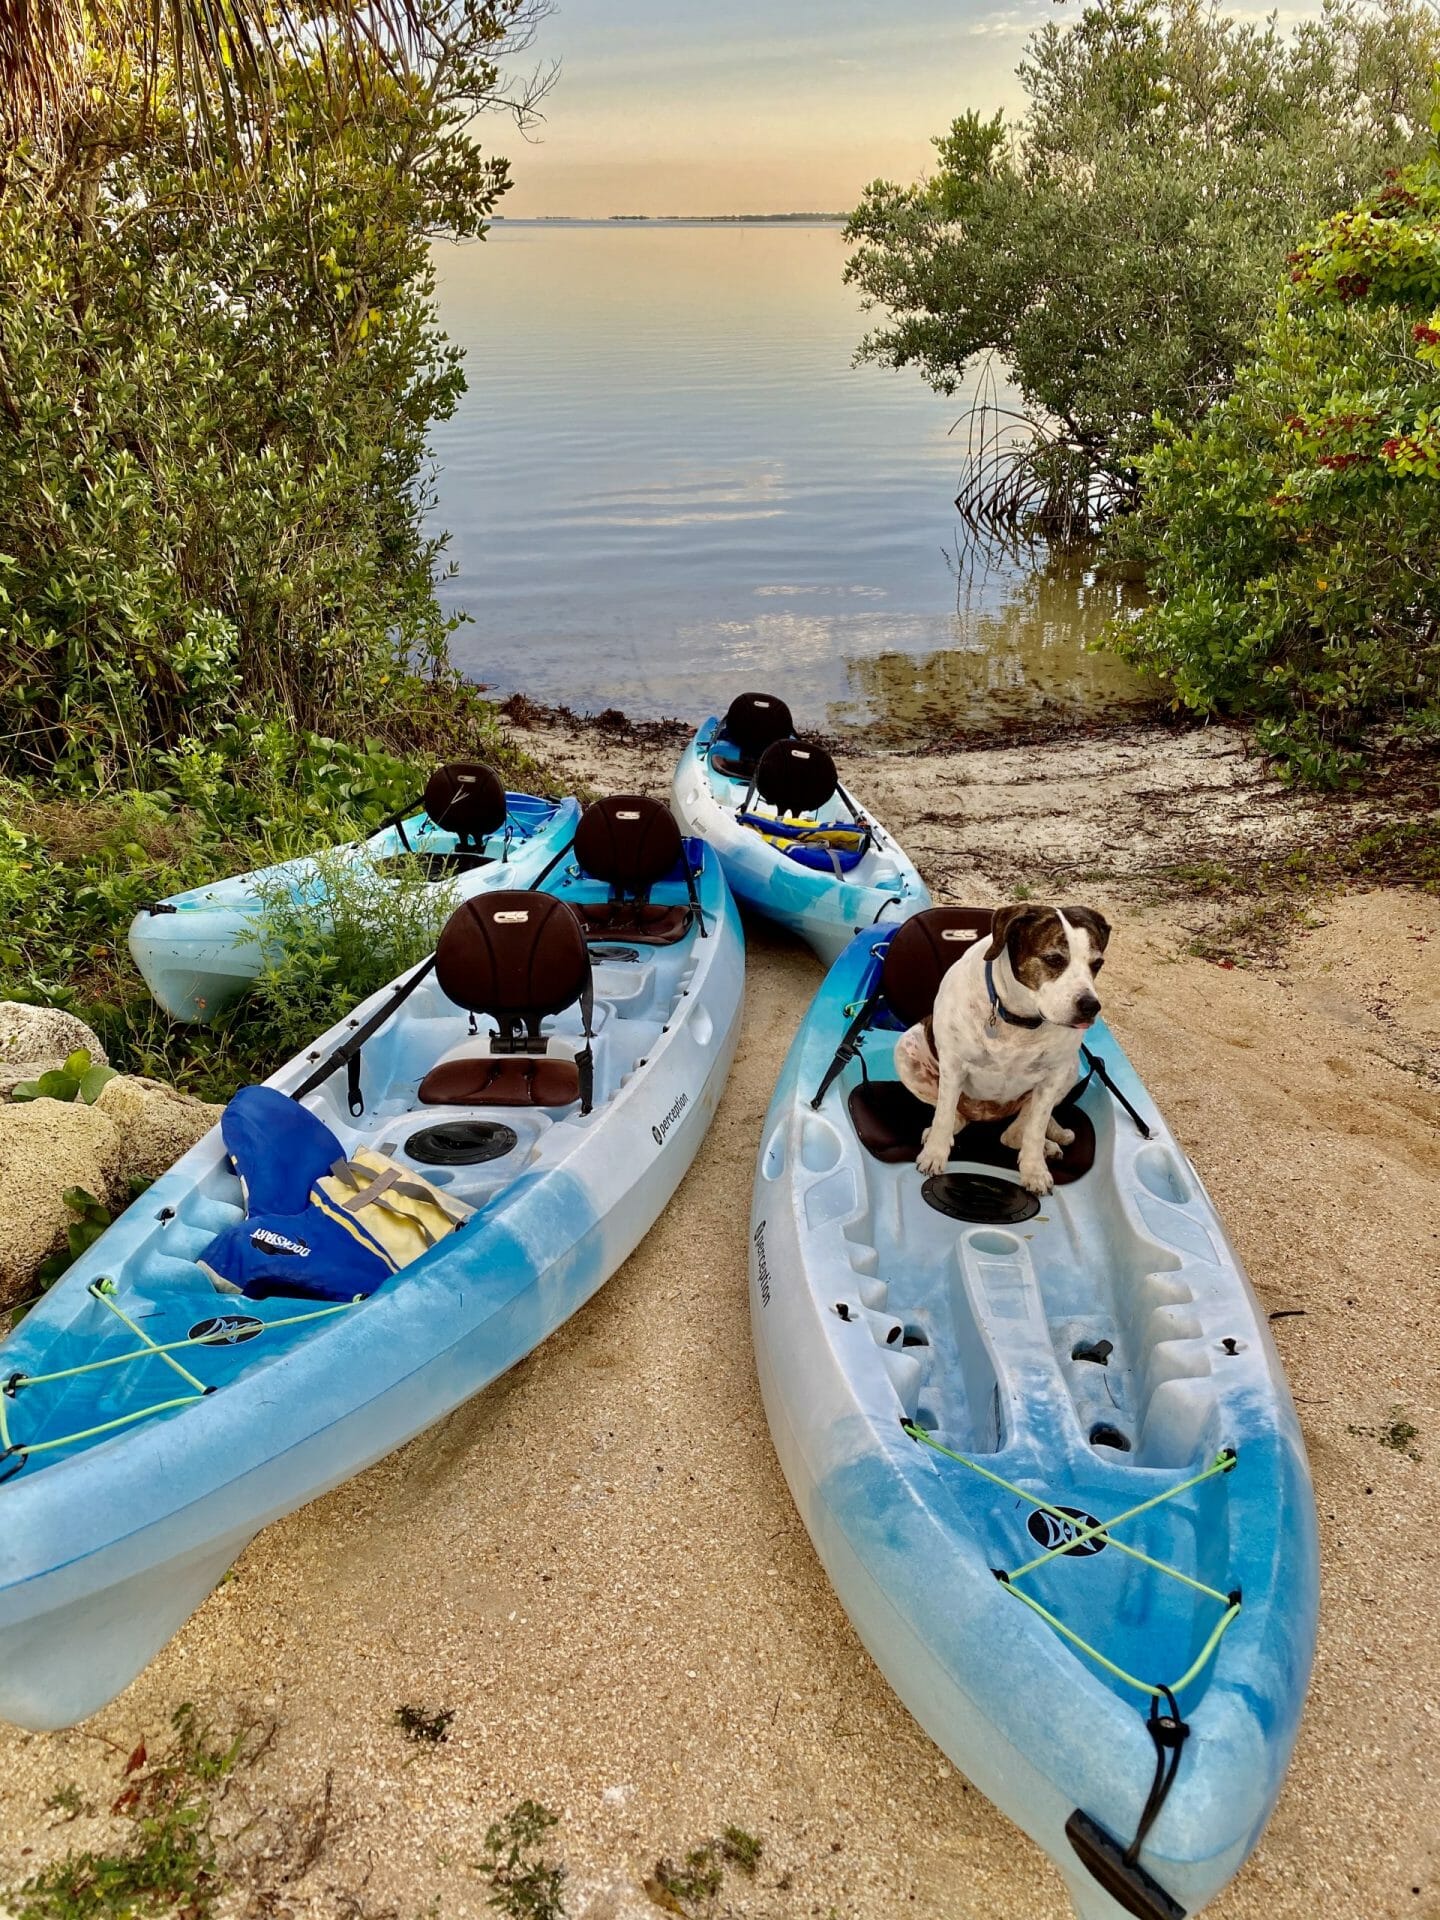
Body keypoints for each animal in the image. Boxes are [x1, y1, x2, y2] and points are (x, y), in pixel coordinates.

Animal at [902, 898, 1113, 1182]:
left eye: (1097, 964)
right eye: (1053, 959)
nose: (1091, 1006)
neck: (1017, 1017)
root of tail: (987, 1115)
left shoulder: (1053, 1077)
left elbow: (1036, 1129)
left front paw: (1035, 1170)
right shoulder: (954, 1065)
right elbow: (943, 1115)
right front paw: (934, 1154)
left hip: (1069, 1069)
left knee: (1014, 1133)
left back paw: (1046, 1144)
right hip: (907, 1047)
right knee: (953, 1116)